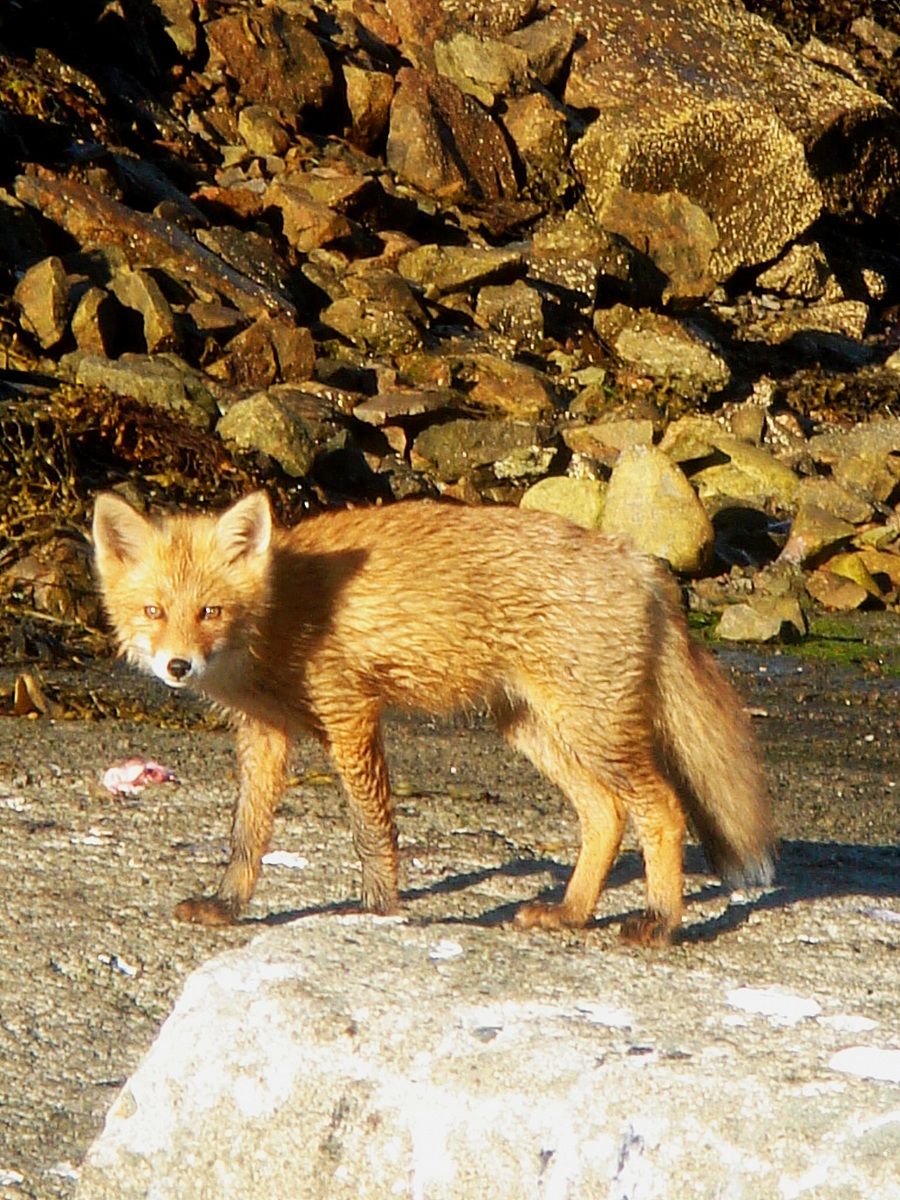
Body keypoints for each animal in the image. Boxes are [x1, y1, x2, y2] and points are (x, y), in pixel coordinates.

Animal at [92, 490, 775, 944]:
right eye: (153, 610)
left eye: (210, 611)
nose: (179, 667)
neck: (276, 617)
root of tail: (636, 560)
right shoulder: (265, 734)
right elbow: (247, 836)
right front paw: (227, 906)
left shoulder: (350, 713)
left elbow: (372, 829)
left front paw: (375, 909)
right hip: (535, 728)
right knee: (605, 815)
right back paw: (571, 913)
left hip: (592, 729)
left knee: (662, 809)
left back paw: (658, 921)